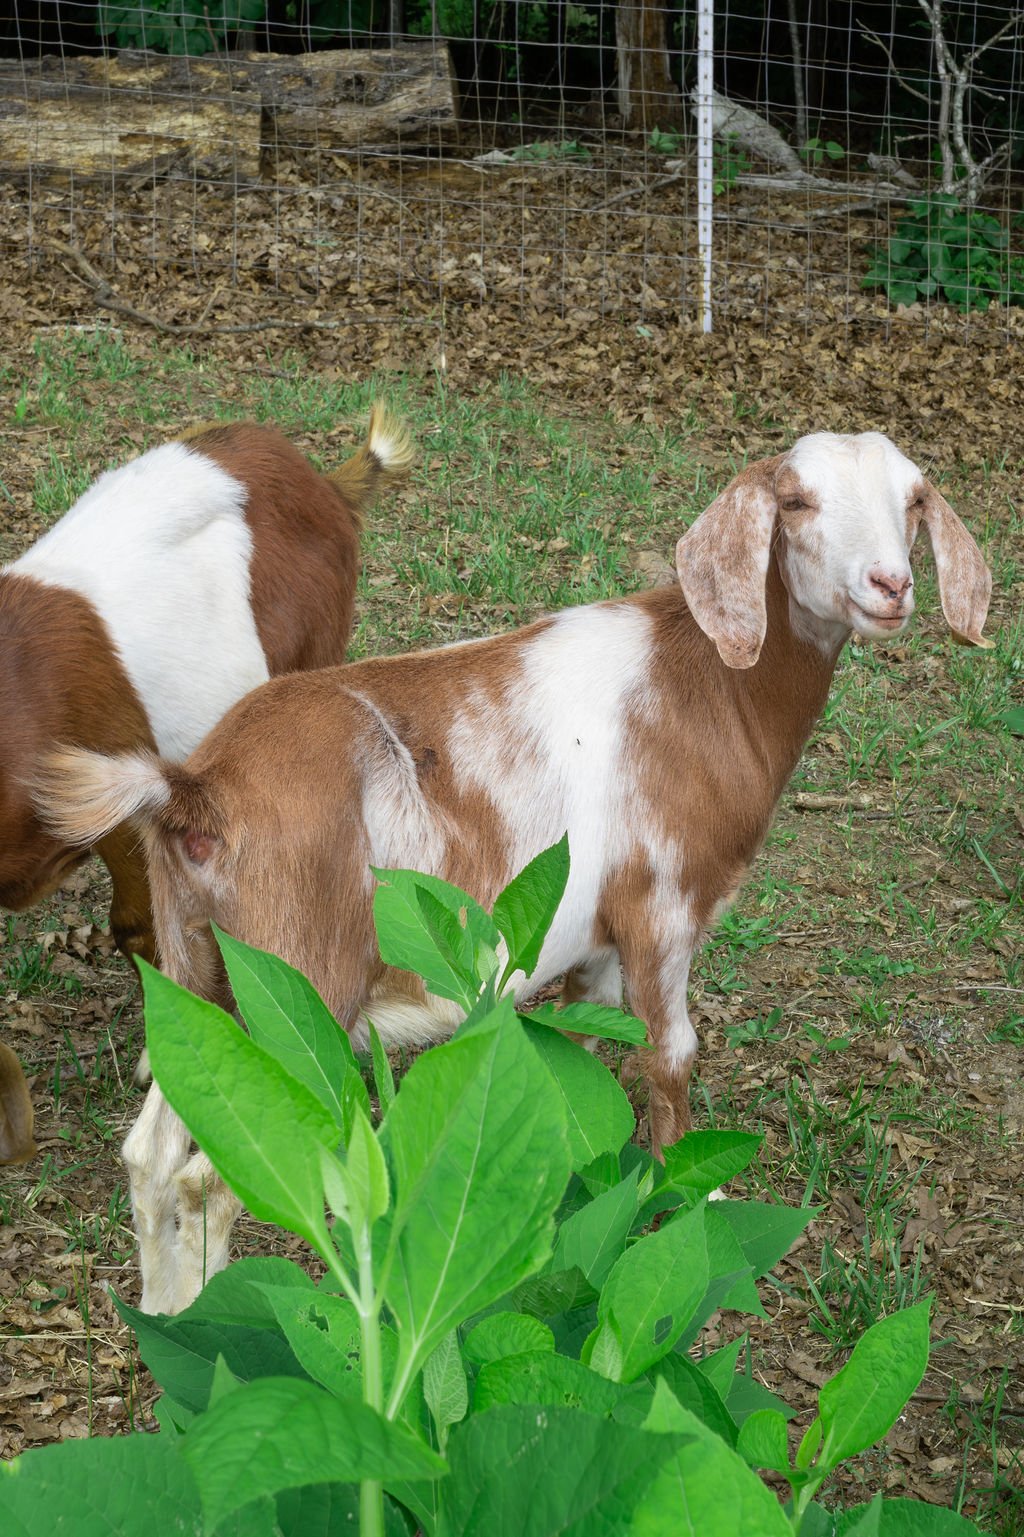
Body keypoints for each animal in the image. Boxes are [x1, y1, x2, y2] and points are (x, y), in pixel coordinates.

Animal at [38, 431, 992, 1314]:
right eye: (794, 501)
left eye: (914, 500)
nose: (889, 586)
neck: (710, 687)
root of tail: (194, 790)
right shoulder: (662, 909)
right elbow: (672, 1055)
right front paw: (701, 1202)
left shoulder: (592, 941)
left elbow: (578, 1054)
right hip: (296, 989)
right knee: (211, 1181)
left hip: (196, 975)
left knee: (152, 1154)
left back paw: (165, 1318)